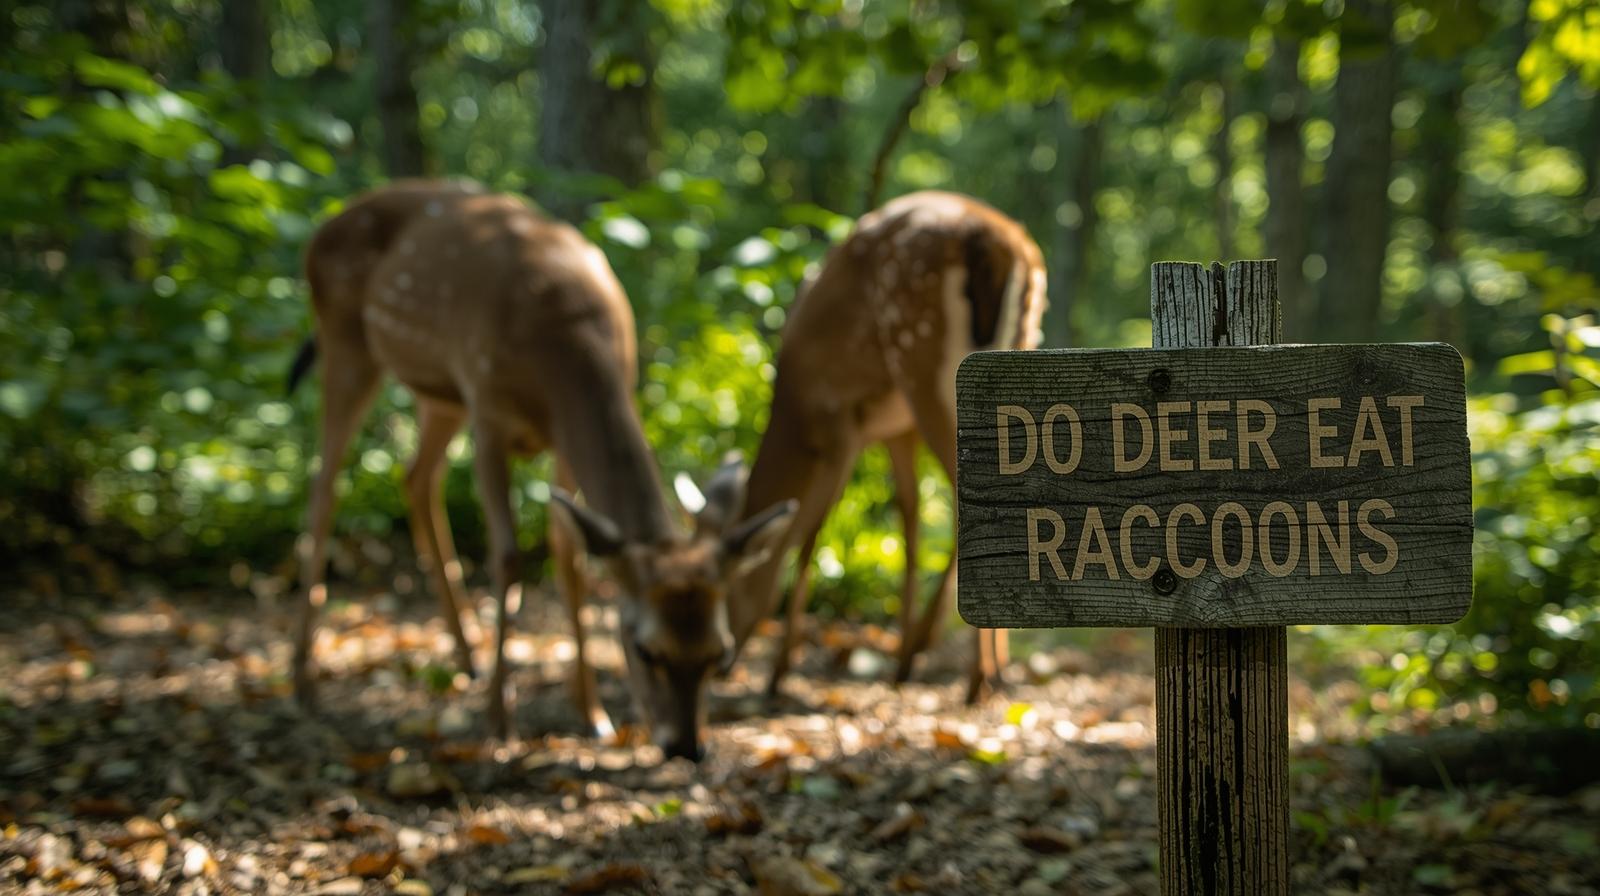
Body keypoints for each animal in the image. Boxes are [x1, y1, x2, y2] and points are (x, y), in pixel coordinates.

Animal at [288, 180, 796, 760]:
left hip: (438, 392)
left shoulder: (558, 439)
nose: (685, 747)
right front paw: (499, 720)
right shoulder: (486, 407)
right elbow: (508, 555)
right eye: (644, 649)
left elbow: (569, 554)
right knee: (325, 486)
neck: (562, 344)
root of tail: (324, 227)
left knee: (415, 476)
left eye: (721, 652)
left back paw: (467, 657)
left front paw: (593, 716)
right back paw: (303, 682)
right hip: (346, 341)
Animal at [722, 191, 1047, 704]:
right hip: (1019, 343)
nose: (722, 662)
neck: (794, 406)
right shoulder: (897, 430)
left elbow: (810, 530)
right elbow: (909, 519)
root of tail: (997, 242)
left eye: (720, 586)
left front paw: (778, 671)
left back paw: (976, 679)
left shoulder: (840, 423)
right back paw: (983, 668)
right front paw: (899, 656)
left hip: (920, 355)